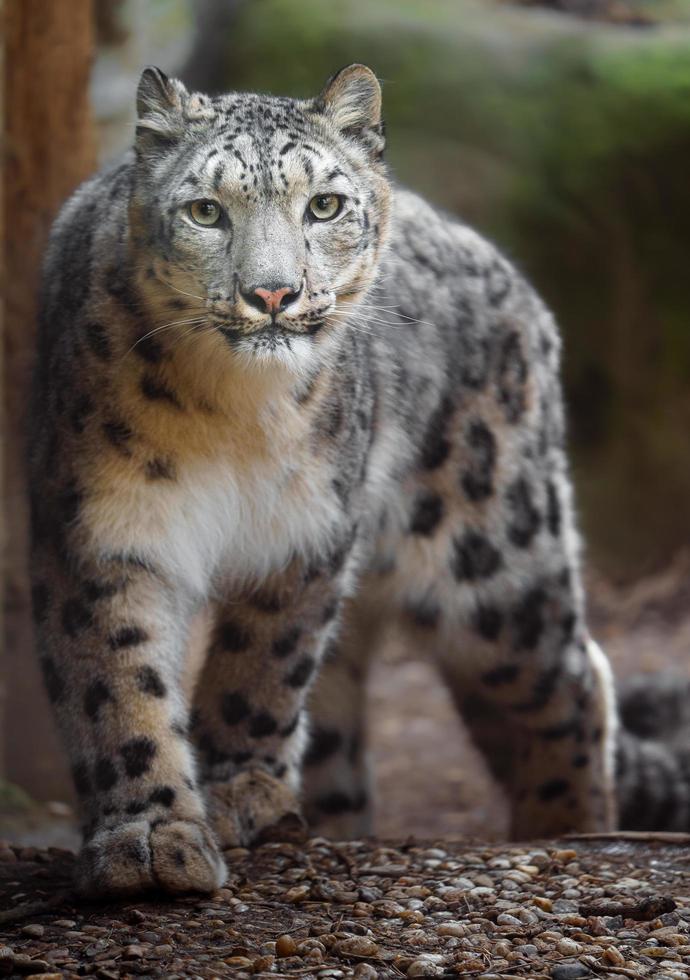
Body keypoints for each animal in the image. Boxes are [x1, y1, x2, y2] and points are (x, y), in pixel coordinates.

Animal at [30, 65, 668, 900]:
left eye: (324, 205)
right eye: (205, 211)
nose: (272, 294)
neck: (231, 412)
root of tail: (514, 280)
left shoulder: (306, 529)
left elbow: (261, 666)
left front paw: (236, 793)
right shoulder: (107, 529)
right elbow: (118, 679)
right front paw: (149, 840)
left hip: (496, 560)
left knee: (571, 677)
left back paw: (570, 827)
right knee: (341, 730)